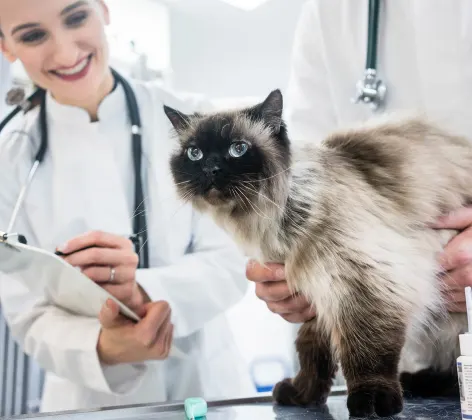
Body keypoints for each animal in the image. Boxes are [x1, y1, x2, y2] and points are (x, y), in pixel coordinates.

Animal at [161, 89, 468, 416]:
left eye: (238, 149)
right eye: (195, 154)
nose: (211, 169)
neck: (275, 217)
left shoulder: (361, 285)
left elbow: (366, 353)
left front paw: (370, 402)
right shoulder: (313, 293)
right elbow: (311, 352)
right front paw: (303, 395)